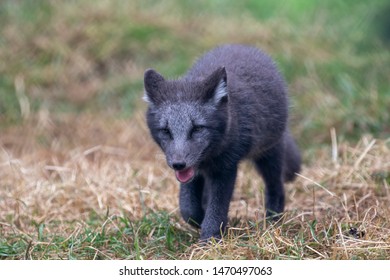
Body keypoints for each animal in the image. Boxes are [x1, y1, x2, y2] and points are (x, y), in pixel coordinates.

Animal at [143, 44, 302, 241]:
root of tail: (241, 46)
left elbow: (217, 207)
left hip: (269, 154)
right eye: (166, 130)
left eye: (197, 128)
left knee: (276, 187)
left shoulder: (226, 167)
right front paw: (201, 220)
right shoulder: (193, 174)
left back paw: (273, 222)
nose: (178, 164)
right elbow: (188, 209)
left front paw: (210, 239)